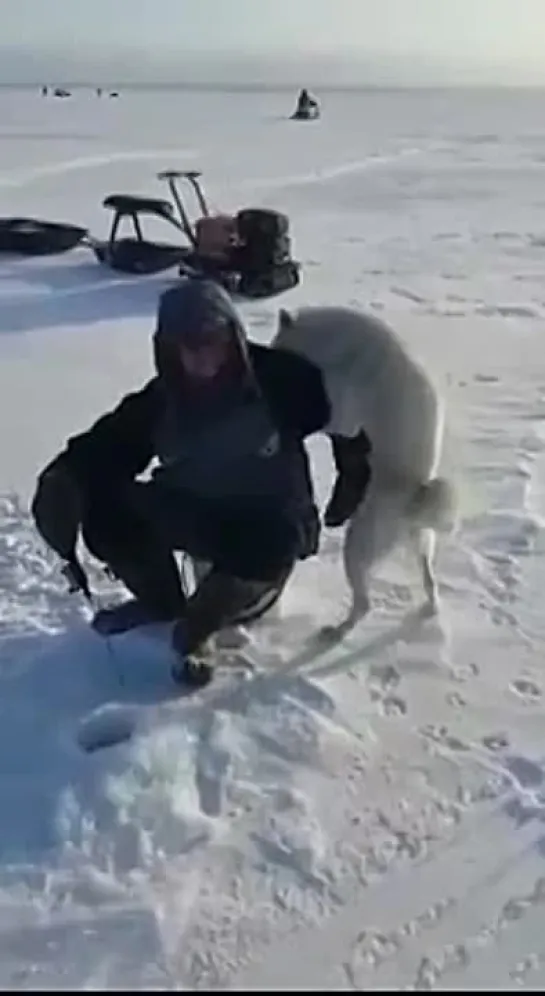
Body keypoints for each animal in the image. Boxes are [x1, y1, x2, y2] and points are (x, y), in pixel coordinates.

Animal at [270, 304, 454, 636]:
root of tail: (413, 503)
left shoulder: (347, 410)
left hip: (359, 545)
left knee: (364, 603)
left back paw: (337, 630)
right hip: (419, 540)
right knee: (427, 575)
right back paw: (431, 607)